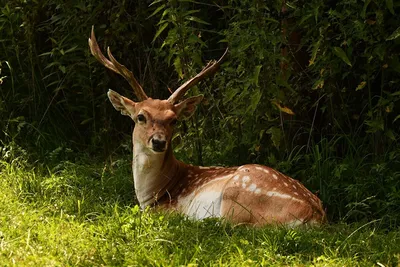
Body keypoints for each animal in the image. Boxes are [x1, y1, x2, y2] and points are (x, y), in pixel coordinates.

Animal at [89, 27, 326, 228]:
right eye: (140, 117)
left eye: (173, 120)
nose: (158, 141)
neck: (153, 194)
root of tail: (314, 215)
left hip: (237, 196)